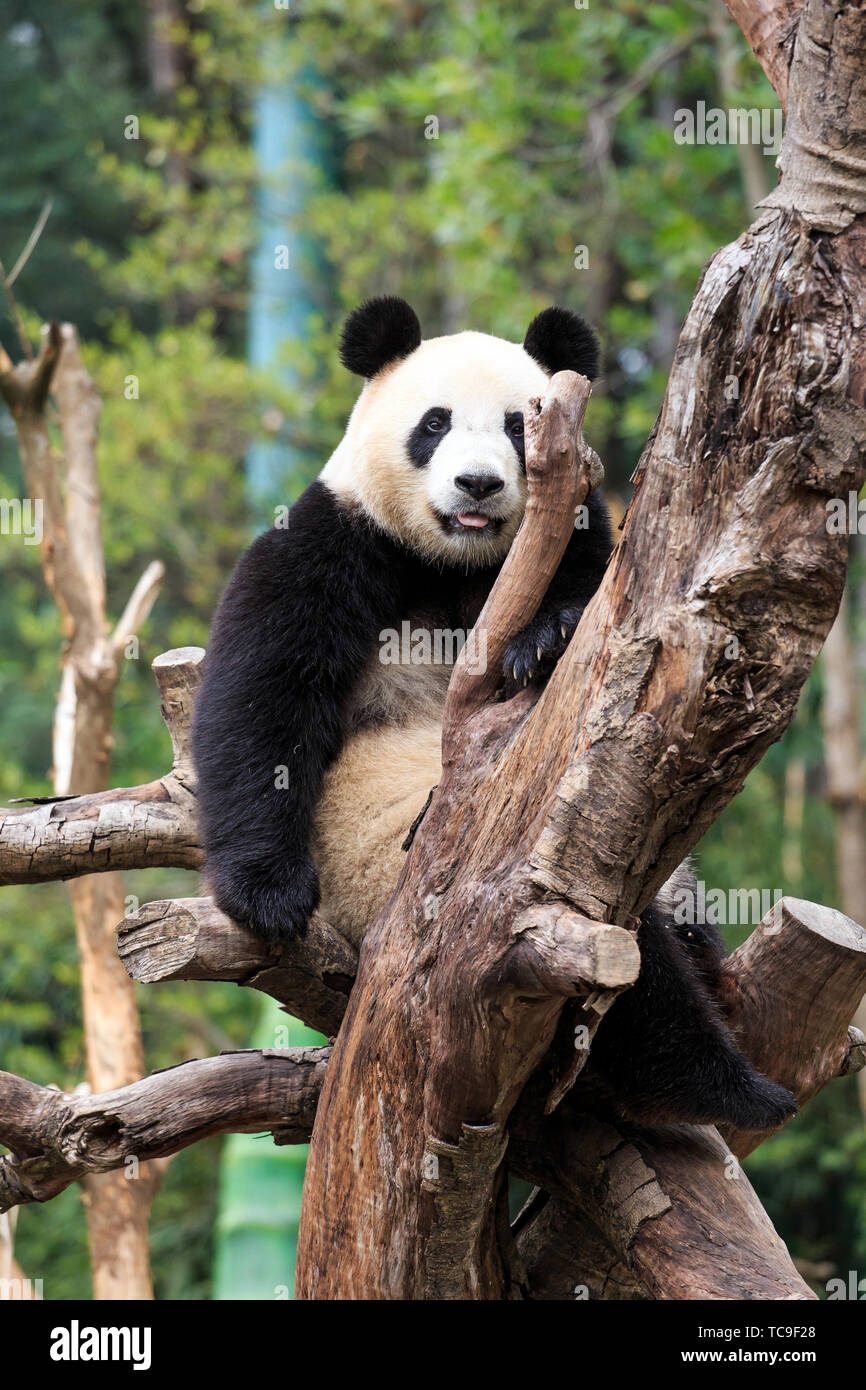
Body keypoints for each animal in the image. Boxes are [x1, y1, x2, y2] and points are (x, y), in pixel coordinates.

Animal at [192, 296, 797, 1131]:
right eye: (434, 423)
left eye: (518, 426)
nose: (477, 485)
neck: (459, 563)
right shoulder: (335, 539)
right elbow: (264, 693)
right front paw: (268, 896)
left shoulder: (585, 548)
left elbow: (602, 627)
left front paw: (544, 641)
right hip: (407, 881)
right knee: (615, 959)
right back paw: (722, 1084)